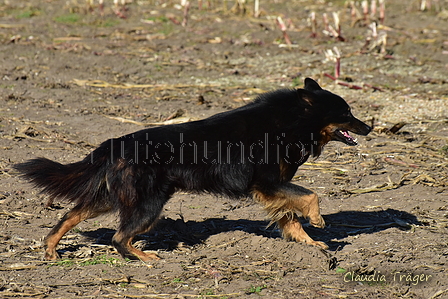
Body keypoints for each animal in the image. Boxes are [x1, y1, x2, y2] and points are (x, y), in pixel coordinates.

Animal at [14, 78, 372, 262]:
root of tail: (115, 143)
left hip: (113, 198)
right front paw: (318, 221)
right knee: (119, 236)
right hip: (148, 204)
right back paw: (145, 258)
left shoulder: (273, 189)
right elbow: (310, 196)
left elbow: (290, 218)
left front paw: (311, 245)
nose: (369, 127)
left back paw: (51, 249)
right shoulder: (266, 183)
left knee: (69, 216)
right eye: (346, 112)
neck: (290, 121)